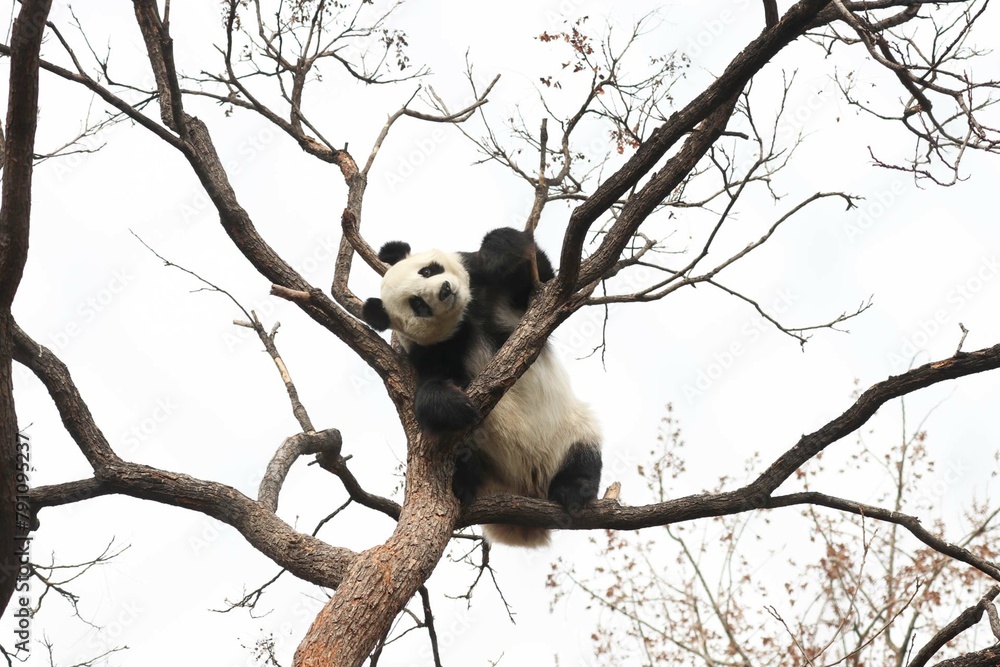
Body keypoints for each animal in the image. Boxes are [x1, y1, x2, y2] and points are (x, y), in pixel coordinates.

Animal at [361, 227, 602, 547]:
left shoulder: (510, 298)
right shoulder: (431, 351)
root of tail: (525, 489)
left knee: (584, 453)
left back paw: (573, 491)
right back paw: (462, 485)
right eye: (418, 304)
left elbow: (547, 280)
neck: (465, 316)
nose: (445, 290)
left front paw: (496, 253)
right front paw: (456, 406)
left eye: (428, 270)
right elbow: (429, 390)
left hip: (569, 429)